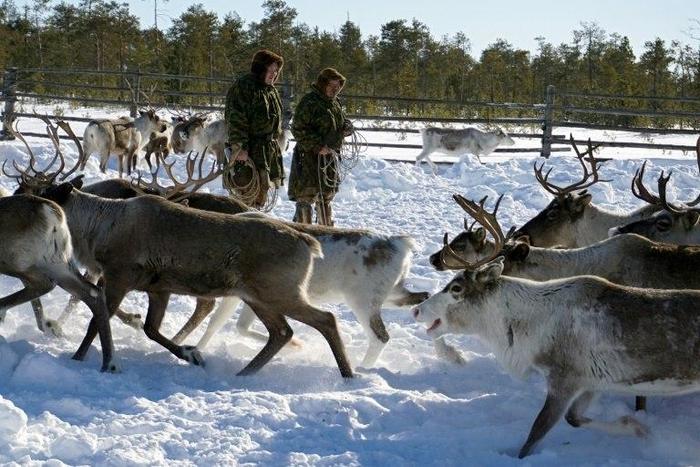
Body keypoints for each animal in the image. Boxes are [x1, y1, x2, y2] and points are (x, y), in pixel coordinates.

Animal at [0, 194, 116, 372]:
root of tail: (52, 212)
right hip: (57, 263)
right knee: (93, 295)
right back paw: (107, 363)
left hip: (16, 261)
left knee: (44, 284)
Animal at [412, 195, 700, 458]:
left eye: (456, 288)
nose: (417, 309)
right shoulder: (592, 381)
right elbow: (574, 418)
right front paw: (635, 427)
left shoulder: (564, 378)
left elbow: (535, 434)